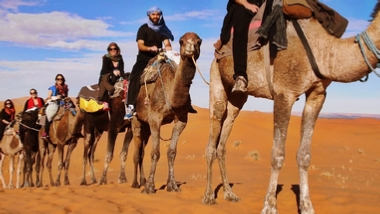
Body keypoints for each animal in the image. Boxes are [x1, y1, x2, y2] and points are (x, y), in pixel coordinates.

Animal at [131, 32, 202, 194]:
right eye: (181, 41)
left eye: (199, 41)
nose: (190, 47)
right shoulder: (155, 118)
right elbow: (155, 153)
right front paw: (150, 187)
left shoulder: (181, 120)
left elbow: (171, 152)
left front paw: (172, 185)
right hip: (136, 120)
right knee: (137, 153)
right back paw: (135, 184)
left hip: (146, 126)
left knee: (142, 152)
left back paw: (142, 181)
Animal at [202, 3, 380, 214]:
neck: (322, 49)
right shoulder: (284, 94)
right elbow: (277, 154)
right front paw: (269, 206)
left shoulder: (317, 94)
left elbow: (304, 155)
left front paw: (307, 206)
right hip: (216, 78)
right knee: (214, 129)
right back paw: (208, 196)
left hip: (238, 97)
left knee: (224, 137)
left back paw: (230, 194)